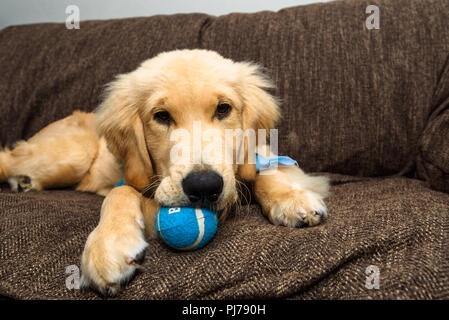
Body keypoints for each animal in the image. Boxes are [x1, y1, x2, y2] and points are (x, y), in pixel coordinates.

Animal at [0, 48, 328, 296]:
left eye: (223, 109)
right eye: (161, 116)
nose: (204, 186)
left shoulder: (262, 156)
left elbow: (266, 172)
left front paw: (292, 199)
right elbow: (121, 191)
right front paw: (108, 241)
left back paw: (24, 182)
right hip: (72, 155)